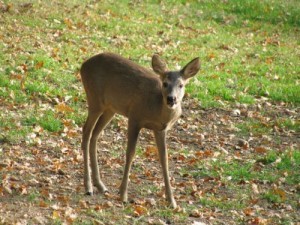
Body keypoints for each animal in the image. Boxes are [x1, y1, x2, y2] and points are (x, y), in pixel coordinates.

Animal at [81, 52, 200, 207]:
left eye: (181, 85)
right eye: (165, 83)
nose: (171, 99)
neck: (156, 108)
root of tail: (83, 65)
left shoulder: (160, 129)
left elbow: (164, 159)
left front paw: (172, 201)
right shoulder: (134, 117)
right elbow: (130, 153)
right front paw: (123, 195)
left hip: (110, 108)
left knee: (95, 135)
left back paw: (101, 185)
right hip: (94, 99)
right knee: (86, 132)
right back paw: (88, 187)